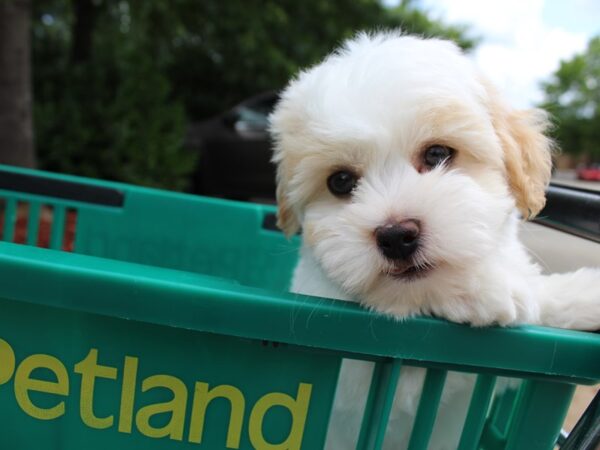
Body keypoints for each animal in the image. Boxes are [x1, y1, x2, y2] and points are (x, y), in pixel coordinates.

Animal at [270, 32, 600, 450]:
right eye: (340, 181)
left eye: (438, 154)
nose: (396, 236)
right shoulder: (355, 372)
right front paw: (478, 290)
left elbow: (538, 298)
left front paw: (584, 294)